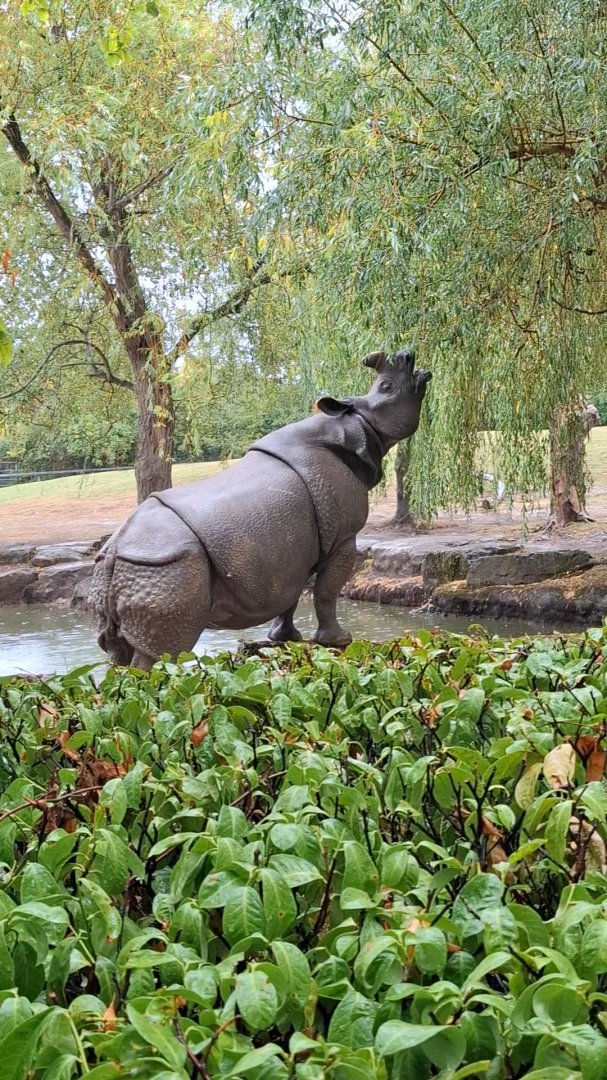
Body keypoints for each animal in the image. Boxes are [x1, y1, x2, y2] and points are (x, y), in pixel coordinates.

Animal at [89, 348, 431, 668]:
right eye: (387, 387)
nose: (407, 355)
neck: (355, 424)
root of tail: (115, 547)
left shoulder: (293, 548)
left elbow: (291, 594)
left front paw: (284, 638)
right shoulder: (342, 537)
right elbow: (326, 591)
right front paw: (338, 640)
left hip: (131, 567)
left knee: (120, 653)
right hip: (166, 565)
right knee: (160, 655)